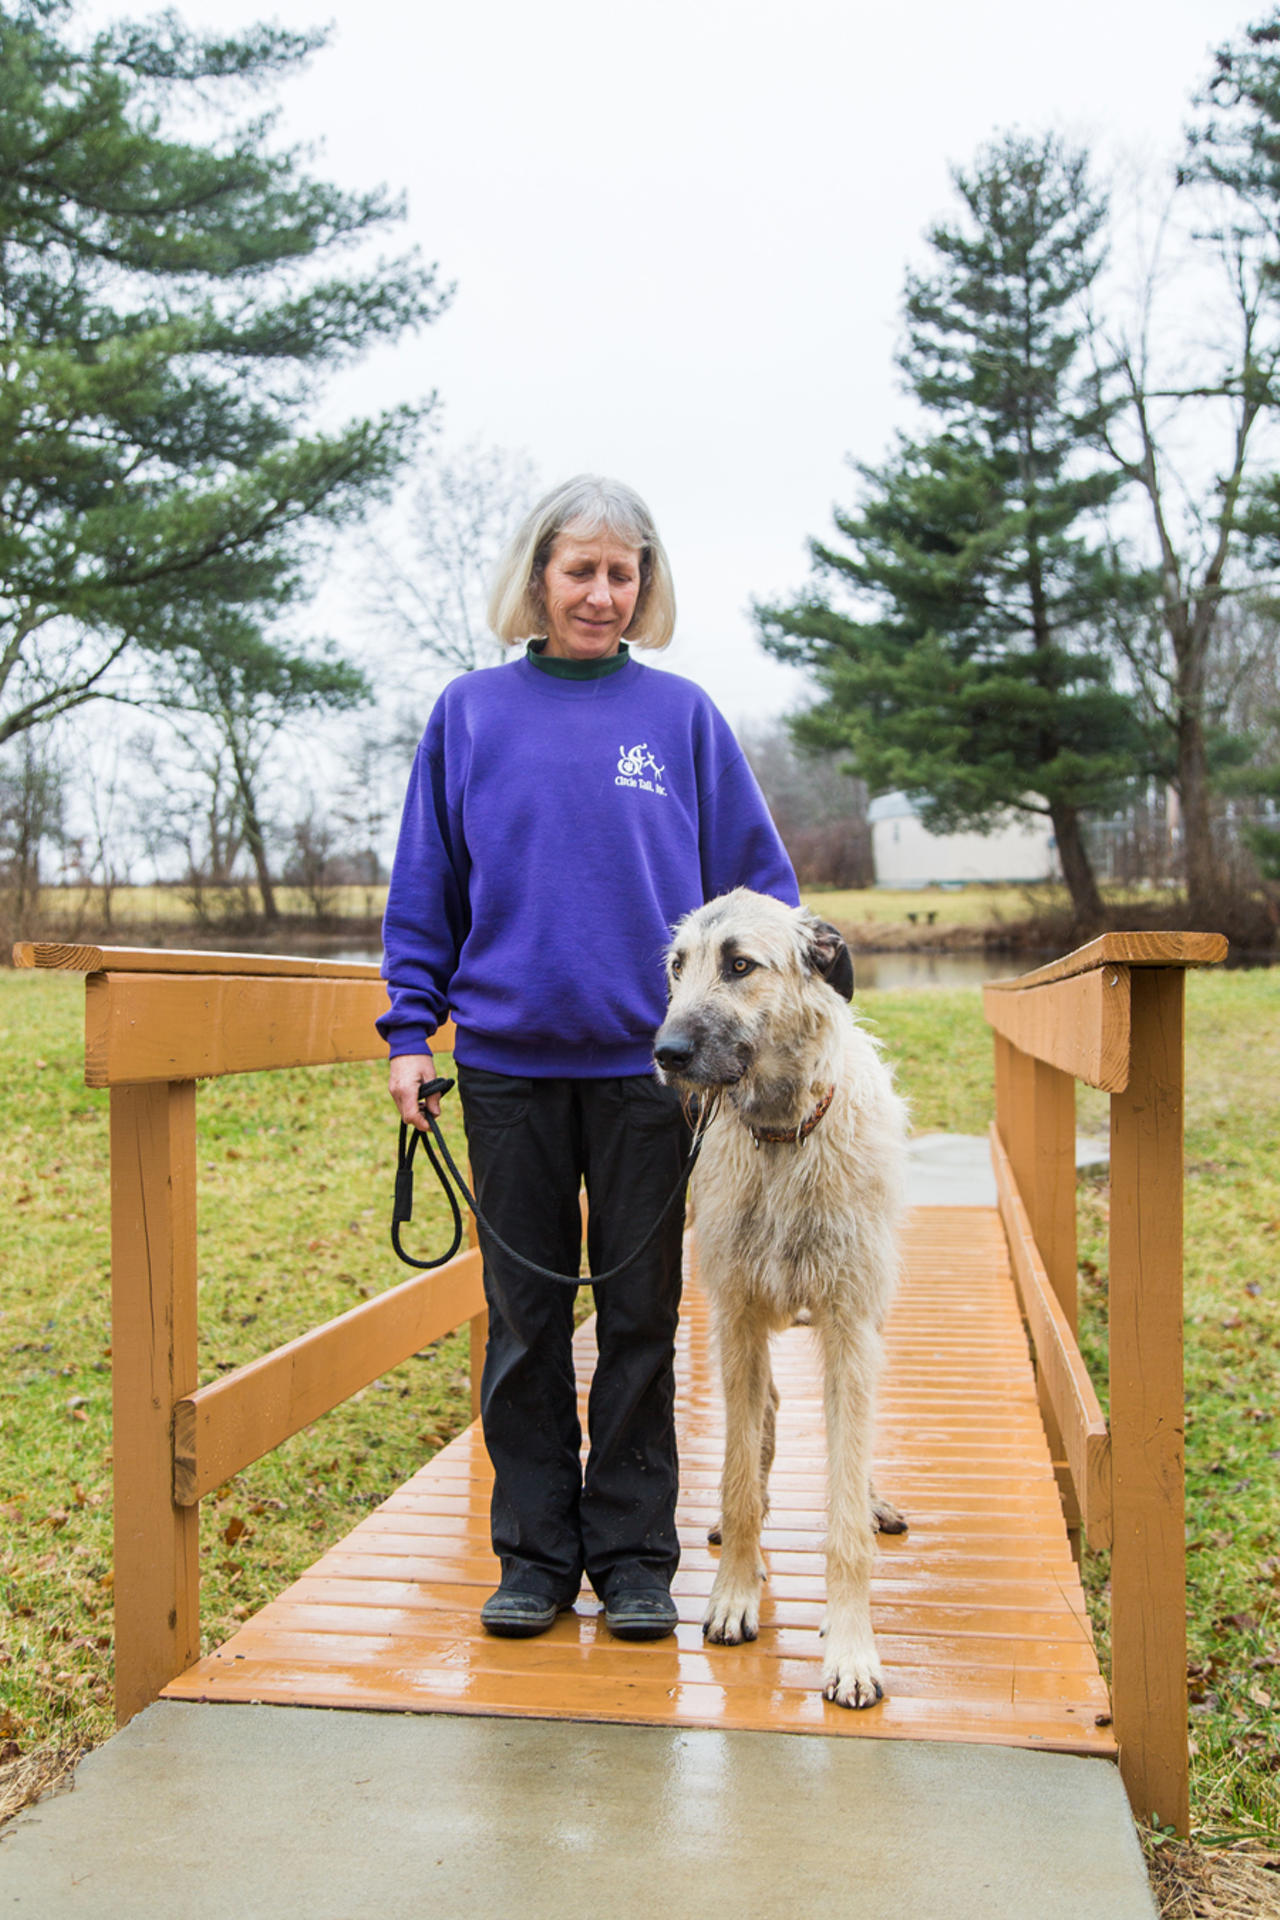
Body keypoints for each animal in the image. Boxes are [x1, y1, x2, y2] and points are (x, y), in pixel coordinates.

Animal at [652, 887, 909, 1712]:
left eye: (740, 965)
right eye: (678, 966)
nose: (665, 1053)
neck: (782, 1138)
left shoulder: (850, 1327)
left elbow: (844, 1512)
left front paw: (852, 1646)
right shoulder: (734, 1319)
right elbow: (738, 1476)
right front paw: (735, 1591)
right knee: (760, 1422)